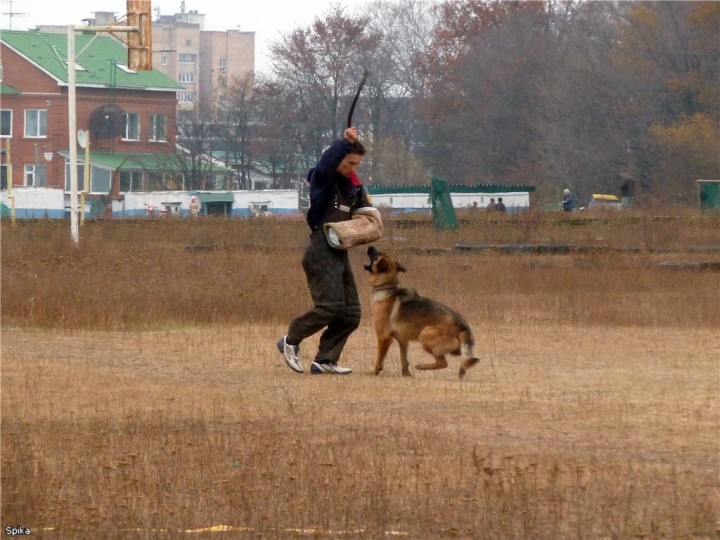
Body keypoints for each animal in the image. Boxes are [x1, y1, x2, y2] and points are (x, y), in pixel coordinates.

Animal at [362, 246, 480, 380]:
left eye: (378, 254)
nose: (370, 246)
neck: (387, 288)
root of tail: (462, 323)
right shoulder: (403, 341)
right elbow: (404, 360)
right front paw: (406, 375)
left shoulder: (384, 338)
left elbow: (379, 360)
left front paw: (374, 373)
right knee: (462, 357)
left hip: (425, 334)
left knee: (443, 363)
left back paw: (422, 366)